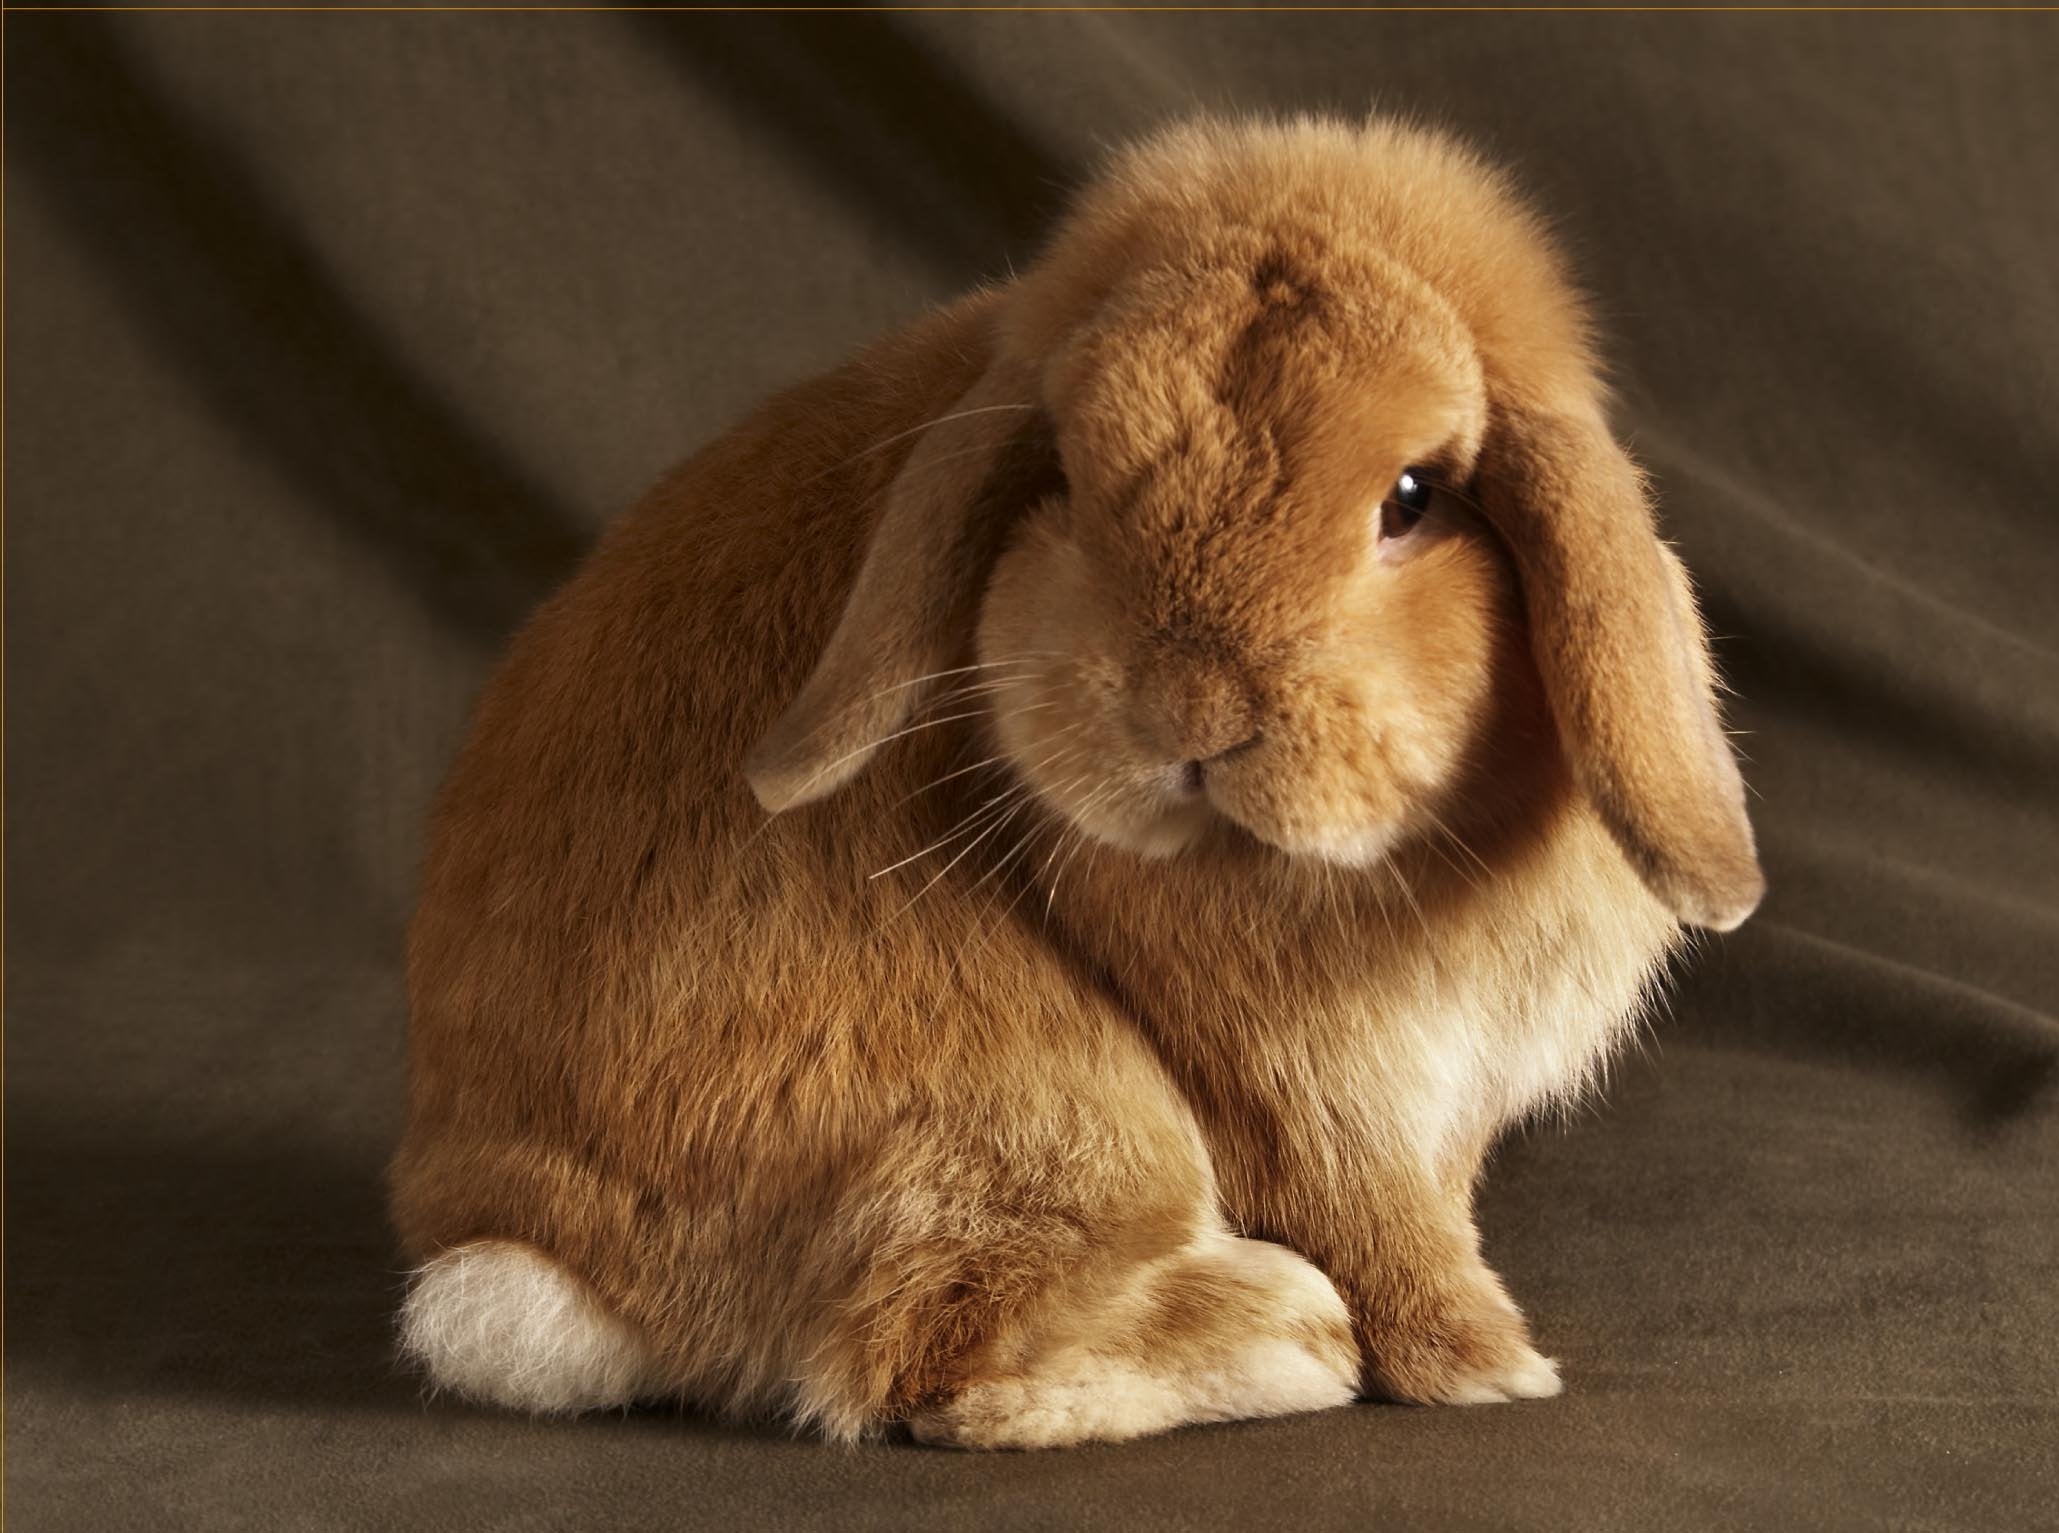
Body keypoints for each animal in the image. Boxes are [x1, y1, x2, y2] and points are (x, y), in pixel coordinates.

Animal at [389, 113, 1762, 1451]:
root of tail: (544, 1262)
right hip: (1045, 1118)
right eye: (1070, 484)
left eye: (1415, 497)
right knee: (931, 1354)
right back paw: (1283, 1332)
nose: (1190, 717)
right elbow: (1370, 1221)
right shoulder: (1300, 1094)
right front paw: (1483, 1365)